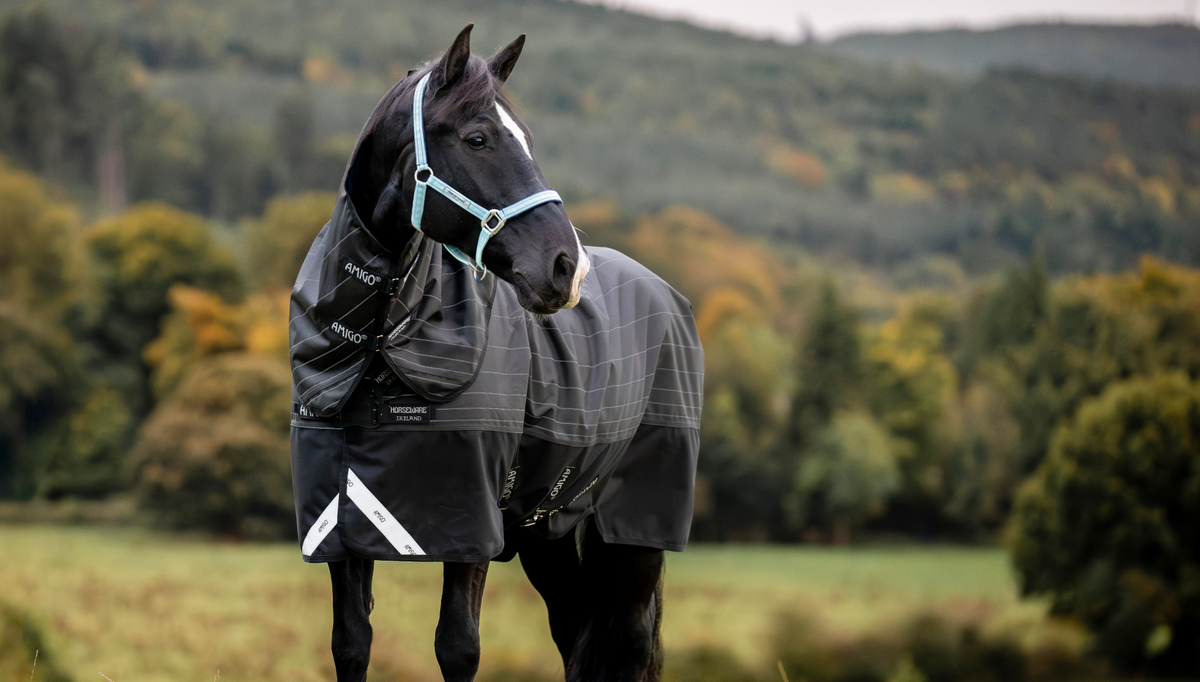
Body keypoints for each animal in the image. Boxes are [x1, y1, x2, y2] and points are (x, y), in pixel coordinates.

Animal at [287, 25, 703, 682]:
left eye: (527, 140)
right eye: (477, 138)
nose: (566, 267)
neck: (379, 347)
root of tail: (667, 294)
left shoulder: (471, 526)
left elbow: (457, 647)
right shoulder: (339, 524)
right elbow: (350, 643)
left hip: (636, 533)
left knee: (631, 643)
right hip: (546, 532)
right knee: (575, 635)